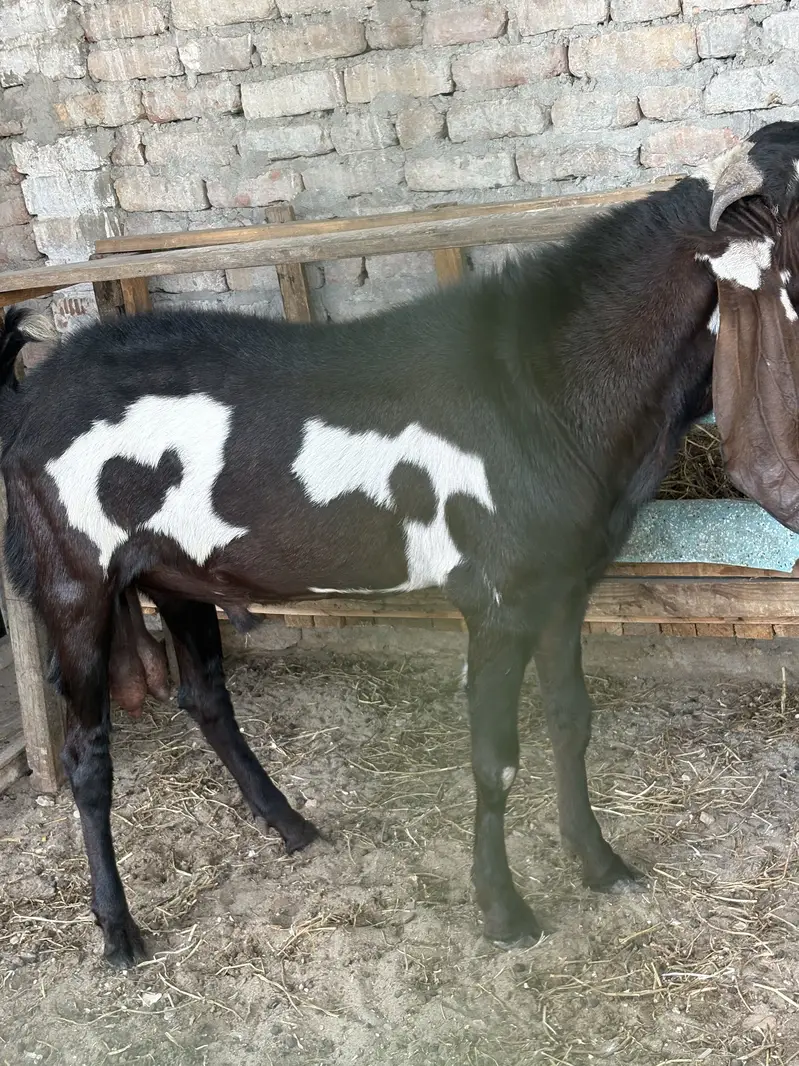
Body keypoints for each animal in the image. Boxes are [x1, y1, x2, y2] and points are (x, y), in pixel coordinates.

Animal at [2, 120, 799, 970]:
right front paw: (504, 911)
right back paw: (118, 930)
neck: (534, 387)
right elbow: (494, 758)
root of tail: (32, 398)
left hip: (176, 574)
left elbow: (570, 721)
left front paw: (599, 864)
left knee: (205, 697)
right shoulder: (497, 602)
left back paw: (291, 826)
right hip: (75, 584)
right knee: (87, 755)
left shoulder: (563, 587)